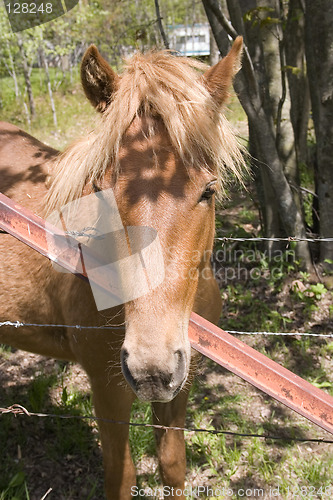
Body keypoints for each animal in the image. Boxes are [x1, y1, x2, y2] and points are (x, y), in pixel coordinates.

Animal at [0, 39, 244, 500]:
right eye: (101, 191)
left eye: (208, 190)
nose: (151, 367)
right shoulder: (108, 390)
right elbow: (121, 475)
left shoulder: (179, 386)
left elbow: (172, 464)